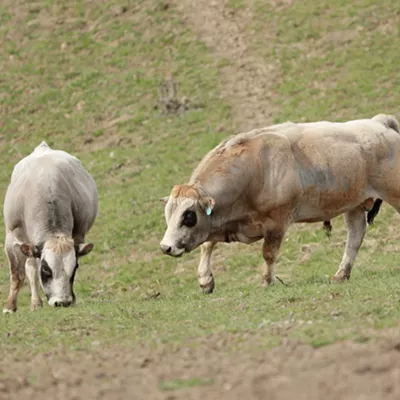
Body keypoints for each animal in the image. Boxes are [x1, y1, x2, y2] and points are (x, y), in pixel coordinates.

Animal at [2, 141, 98, 312]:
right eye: (46, 269)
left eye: (75, 267)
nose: (62, 302)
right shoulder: (12, 238)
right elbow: (17, 274)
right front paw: (9, 307)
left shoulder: (78, 235)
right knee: (30, 268)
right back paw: (35, 303)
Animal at [161, 114, 398, 292]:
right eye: (168, 214)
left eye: (188, 216)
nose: (165, 247)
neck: (255, 169)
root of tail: (379, 122)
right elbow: (207, 245)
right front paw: (205, 280)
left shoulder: (277, 222)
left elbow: (268, 253)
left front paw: (267, 281)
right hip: (354, 203)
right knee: (355, 236)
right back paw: (341, 274)